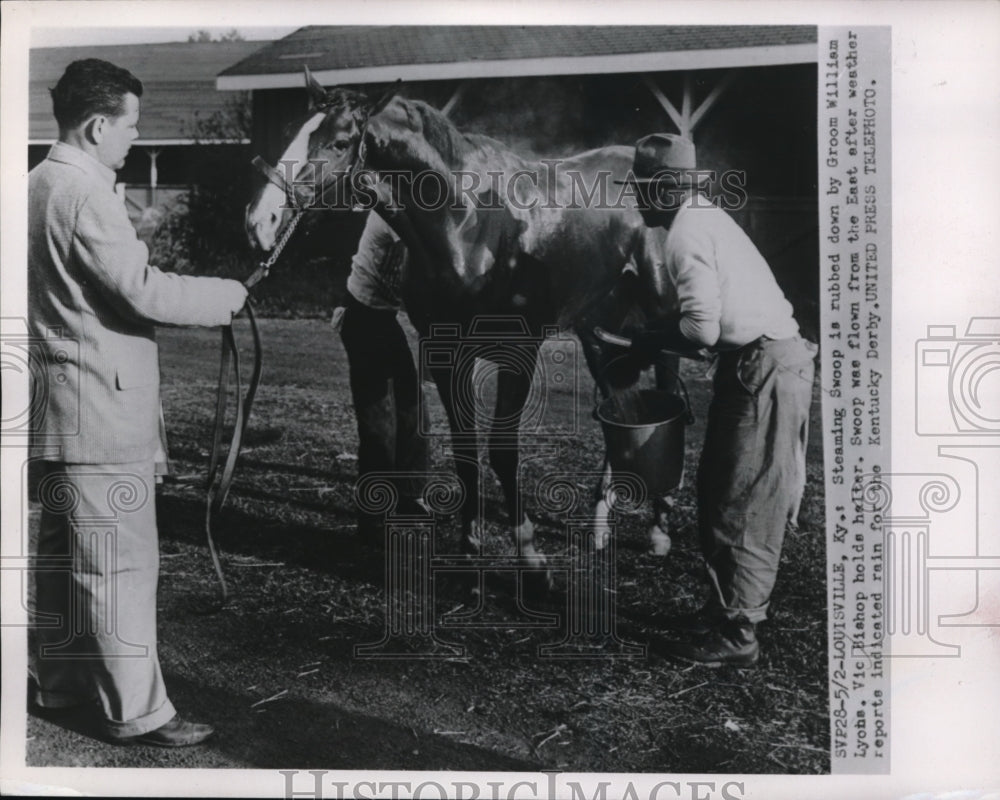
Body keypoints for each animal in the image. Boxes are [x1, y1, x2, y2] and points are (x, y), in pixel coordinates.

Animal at [246, 69, 680, 580]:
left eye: (339, 142)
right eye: (293, 131)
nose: (260, 220)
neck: (469, 226)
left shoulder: (518, 353)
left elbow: (502, 451)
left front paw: (529, 555)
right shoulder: (447, 355)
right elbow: (466, 451)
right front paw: (470, 545)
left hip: (662, 323)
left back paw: (659, 528)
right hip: (598, 331)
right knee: (621, 408)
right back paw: (599, 527)